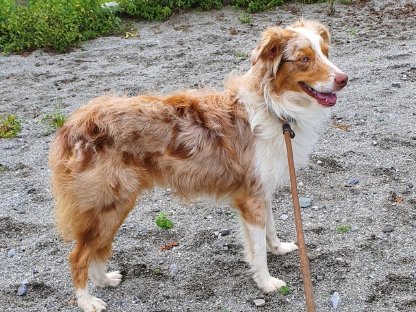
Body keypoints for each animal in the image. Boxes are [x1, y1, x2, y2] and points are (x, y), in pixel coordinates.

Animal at [49, 20, 348, 312]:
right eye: (304, 59)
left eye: (326, 53)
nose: (344, 79)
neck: (273, 107)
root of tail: (72, 124)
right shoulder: (251, 197)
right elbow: (258, 250)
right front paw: (266, 283)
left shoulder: (261, 189)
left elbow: (269, 230)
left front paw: (278, 248)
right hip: (109, 203)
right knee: (78, 256)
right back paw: (87, 301)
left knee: (95, 250)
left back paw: (104, 280)